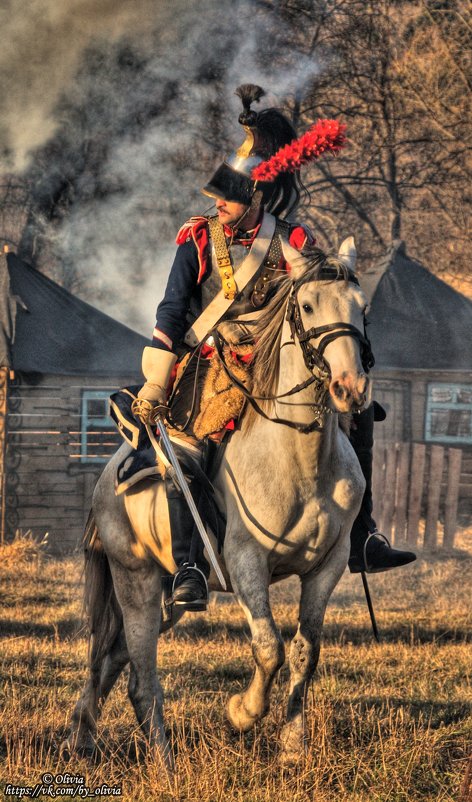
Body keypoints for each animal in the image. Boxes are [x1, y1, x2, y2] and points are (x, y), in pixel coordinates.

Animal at [62, 234, 372, 764]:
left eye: (362, 306)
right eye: (308, 305)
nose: (350, 388)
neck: (301, 462)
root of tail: (106, 479)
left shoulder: (327, 566)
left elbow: (305, 652)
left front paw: (293, 745)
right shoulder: (247, 564)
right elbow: (269, 647)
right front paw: (242, 713)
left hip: (166, 598)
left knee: (110, 659)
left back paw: (83, 737)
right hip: (136, 583)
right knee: (139, 677)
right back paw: (163, 762)